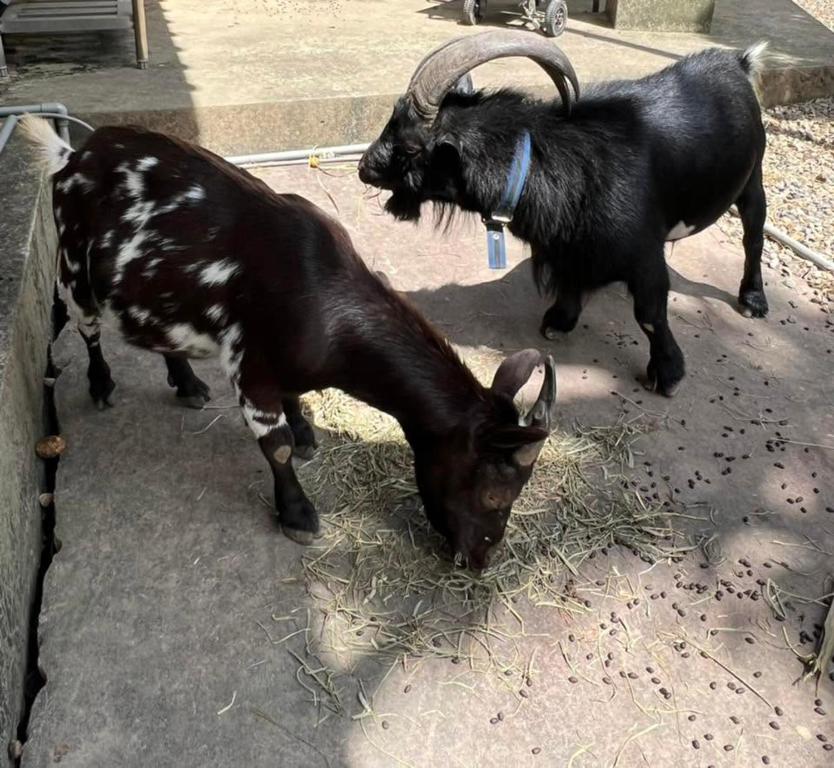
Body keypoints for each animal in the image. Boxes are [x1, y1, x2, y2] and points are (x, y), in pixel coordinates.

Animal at [21, 116, 556, 570]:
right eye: (494, 495)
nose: (480, 560)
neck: (326, 304)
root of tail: (75, 152)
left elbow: (295, 401)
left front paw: (305, 434)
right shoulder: (252, 370)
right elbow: (274, 447)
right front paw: (298, 514)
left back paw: (188, 384)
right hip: (74, 269)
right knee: (88, 328)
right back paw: (102, 386)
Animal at [358, 31, 770, 397]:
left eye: (411, 147)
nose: (365, 167)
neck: (550, 165)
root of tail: (738, 63)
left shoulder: (643, 256)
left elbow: (650, 313)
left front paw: (667, 374)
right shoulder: (570, 250)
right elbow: (572, 283)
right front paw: (559, 321)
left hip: (753, 178)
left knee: (753, 235)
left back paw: (753, 300)